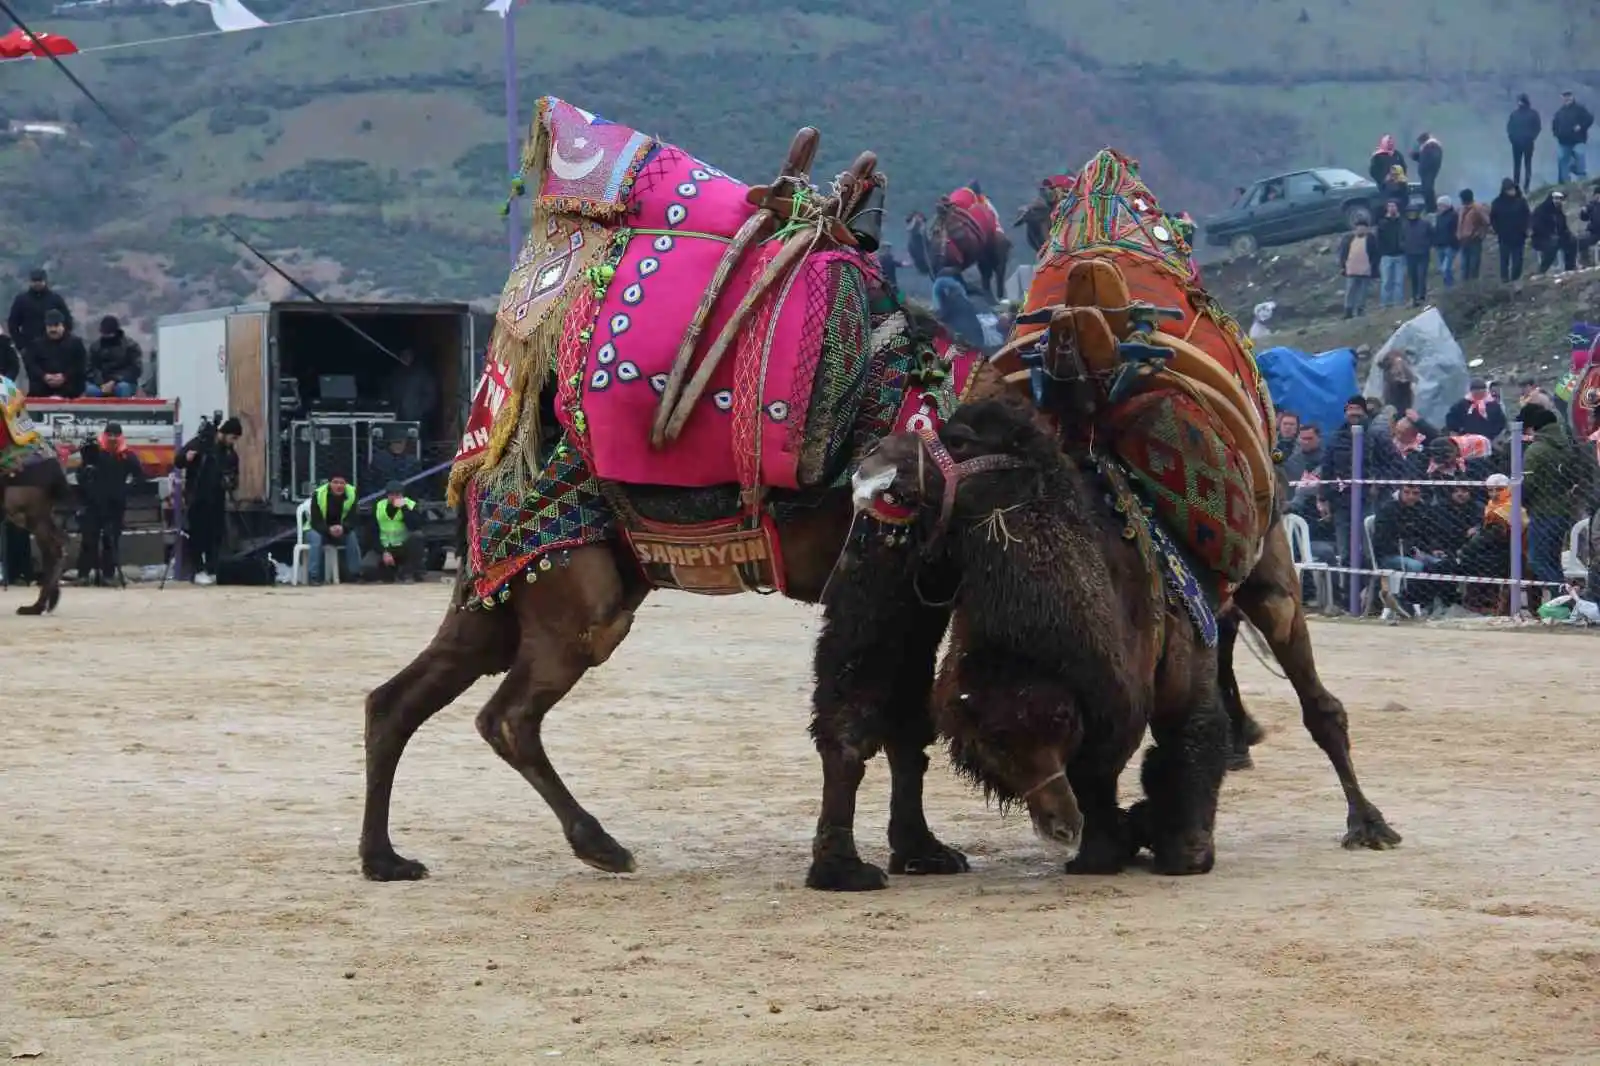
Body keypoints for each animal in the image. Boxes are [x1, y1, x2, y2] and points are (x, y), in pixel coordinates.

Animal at [844, 396, 1228, 870]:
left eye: (960, 440)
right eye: (994, 744)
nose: (874, 455)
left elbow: (1106, 764)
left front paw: (1118, 850)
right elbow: (1089, 774)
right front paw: (1105, 848)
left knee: (1194, 724)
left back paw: (1185, 847)